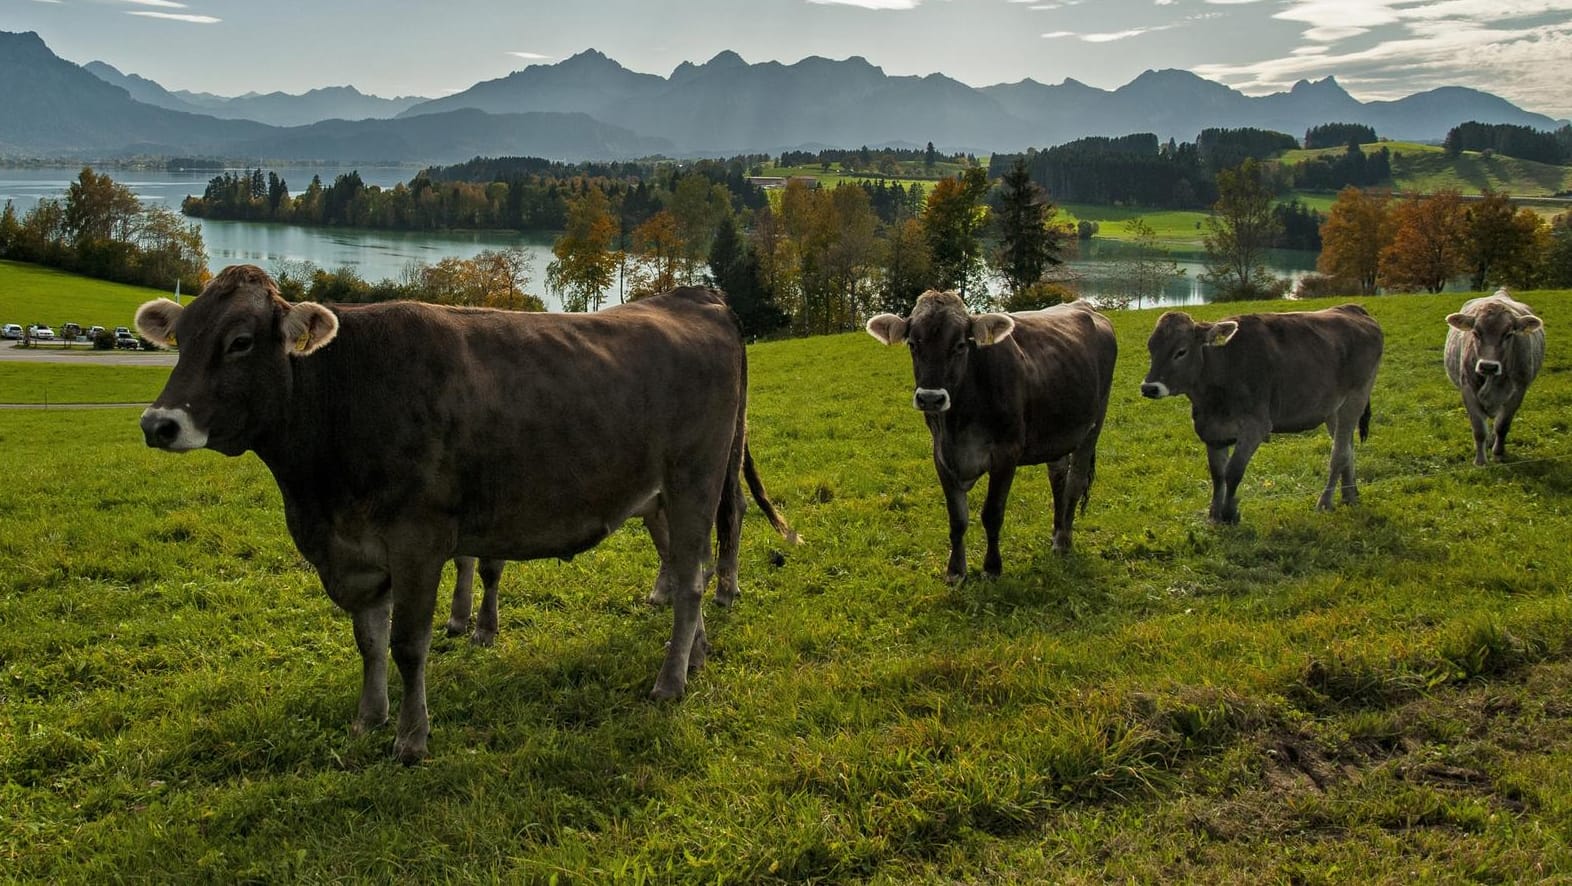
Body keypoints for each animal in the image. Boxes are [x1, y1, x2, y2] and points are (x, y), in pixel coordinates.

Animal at [136, 265, 779, 760]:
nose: (158, 423)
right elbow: (368, 640)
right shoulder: (356, 552)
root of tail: (695, 297)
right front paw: (369, 717)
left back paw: (670, 682)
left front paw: (411, 739)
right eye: (182, 337)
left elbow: (407, 643)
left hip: (698, 478)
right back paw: (696, 657)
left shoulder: (416, 541)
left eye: (240, 341)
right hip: (661, 495)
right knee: (687, 565)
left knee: (695, 577)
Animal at [861, 290, 1119, 581]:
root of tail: (1085, 307)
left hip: (1094, 423)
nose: (931, 398)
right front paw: (956, 571)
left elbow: (992, 513)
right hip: (1057, 433)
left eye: (960, 345)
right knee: (1058, 479)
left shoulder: (1007, 454)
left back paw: (1064, 540)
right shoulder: (941, 456)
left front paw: (992, 567)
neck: (959, 421)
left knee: (1075, 481)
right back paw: (1056, 533)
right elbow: (957, 518)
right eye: (913, 345)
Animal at [1138, 306, 1383, 524]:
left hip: (1355, 397)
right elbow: (1217, 474)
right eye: (1151, 349)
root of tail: (1351, 309)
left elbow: (1233, 471)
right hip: (1333, 408)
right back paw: (1350, 496)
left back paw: (1324, 502)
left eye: (1181, 351)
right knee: (1348, 449)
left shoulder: (1255, 426)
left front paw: (1229, 513)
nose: (1150, 388)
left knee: (1339, 454)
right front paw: (1214, 514)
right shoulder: (1212, 430)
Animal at [1439, 290, 1540, 471]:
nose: (1488, 366)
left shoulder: (1518, 391)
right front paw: (1480, 461)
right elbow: (1479, 429)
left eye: (1508, 334)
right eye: (1475, 333)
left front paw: (1498, 454)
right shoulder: (1468, 389)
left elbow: (1502, 425)